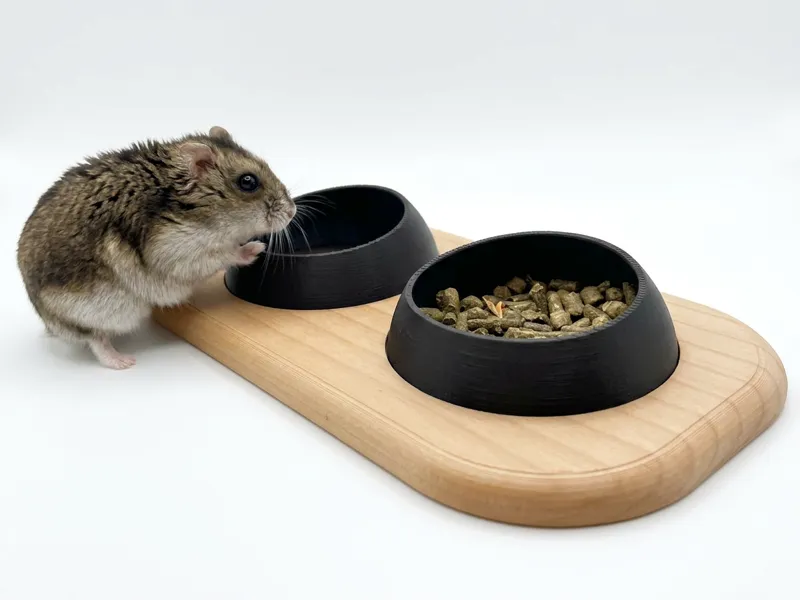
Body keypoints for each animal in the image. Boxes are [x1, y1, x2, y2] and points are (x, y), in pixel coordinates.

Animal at [16, 126, 296, 369]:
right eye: (248, 181)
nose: (292, 211)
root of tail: (48, 320)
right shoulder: (177, 250)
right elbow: (224, 254)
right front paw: (256, 247)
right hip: (101, 312)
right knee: (95, 339)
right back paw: (124, 362)